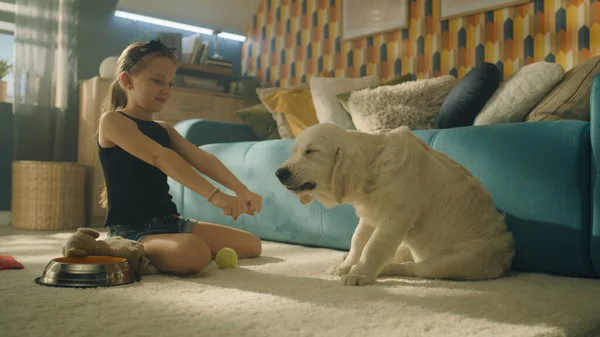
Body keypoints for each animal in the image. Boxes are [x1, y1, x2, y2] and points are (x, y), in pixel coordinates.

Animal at [276, 123, 516, 286]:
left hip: (454, 262)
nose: (279, 173)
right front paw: (346, 266)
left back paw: (384, 269)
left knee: (414, 268)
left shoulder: (397, 216)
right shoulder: (369, 215)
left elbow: (374, 245)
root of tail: (505, 261)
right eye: (294, 152)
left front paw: (359, 274)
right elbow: (358, 241)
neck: (372, 166)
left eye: (310, 151)